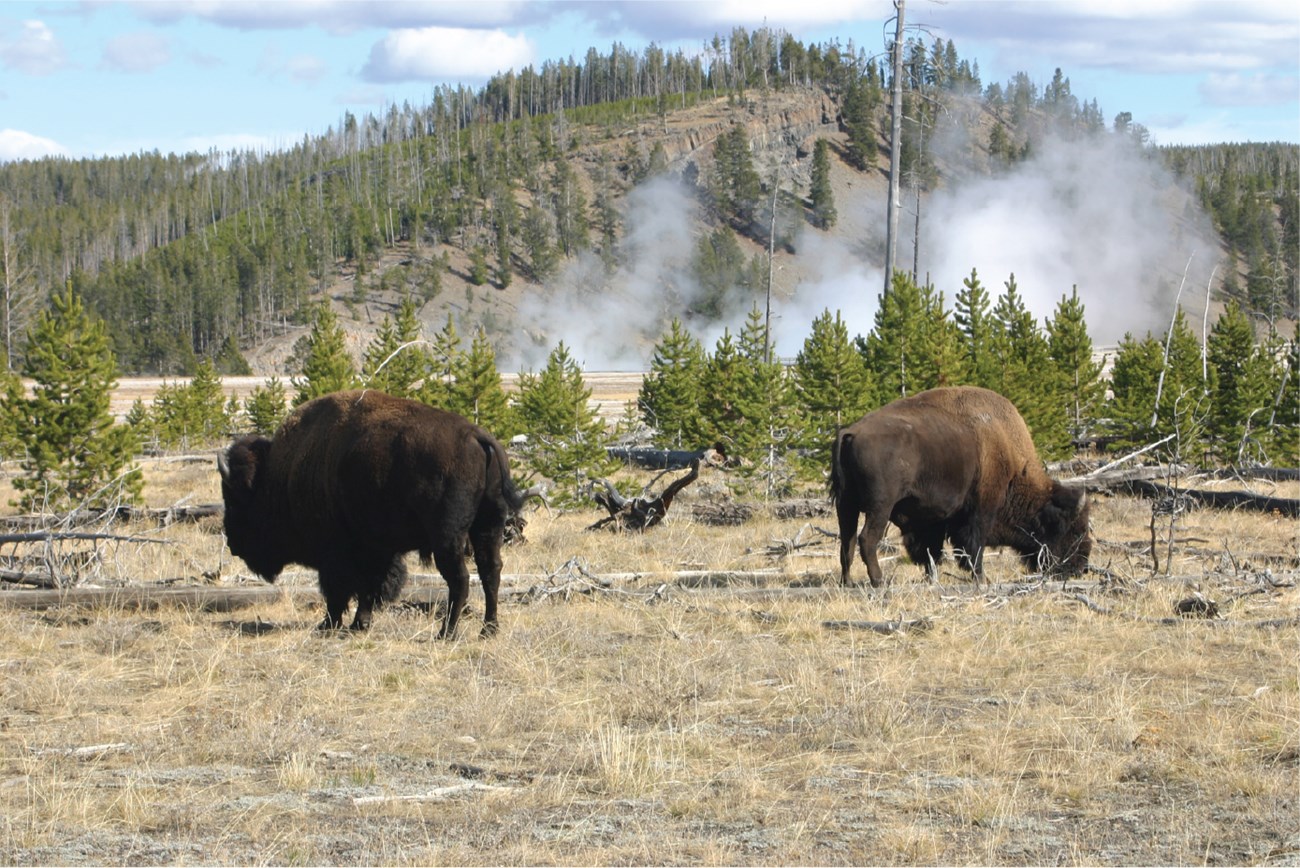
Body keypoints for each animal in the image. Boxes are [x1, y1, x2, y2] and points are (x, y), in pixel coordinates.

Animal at [215, 392, 525, 636]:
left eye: (234, 499)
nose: (232, 542)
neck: (280, 474)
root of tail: (476, 436)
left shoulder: (336, 551)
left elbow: (339, 588)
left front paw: (329, 625)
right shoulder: (377, 549)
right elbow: (372, 587)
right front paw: (359, 624)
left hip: (447, 536)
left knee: (459, 579)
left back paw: (446, 633)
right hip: (489, 525)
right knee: (490, 571)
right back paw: (488, 629)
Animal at [826, 389, 1092, 587]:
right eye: (1074, 531)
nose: (1080, 567)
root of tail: (850, 432)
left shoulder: (929, 520)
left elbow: (930, 551)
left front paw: (932, 578)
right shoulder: (981, 509)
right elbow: (974, 547)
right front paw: (982, 579)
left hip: (846, 505)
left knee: (847, 542)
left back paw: (848, 583)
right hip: (879, 507)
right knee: (866, 539)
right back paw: (879, 581)